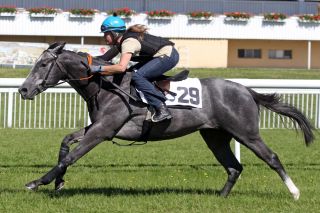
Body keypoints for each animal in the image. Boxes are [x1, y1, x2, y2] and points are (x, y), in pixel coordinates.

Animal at [18, 42, 314, 200]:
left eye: (42, 65)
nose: (23, 89)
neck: (106, 85)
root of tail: (247, 90)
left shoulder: (103, 130)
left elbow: (72, 156)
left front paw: (37, 182)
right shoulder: (99, 127)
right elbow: (66, 142)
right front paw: (58, 183)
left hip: (246, 133)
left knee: (271, 158)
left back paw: (295, 192)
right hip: (215, 136)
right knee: (233, 167)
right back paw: (220, 197)